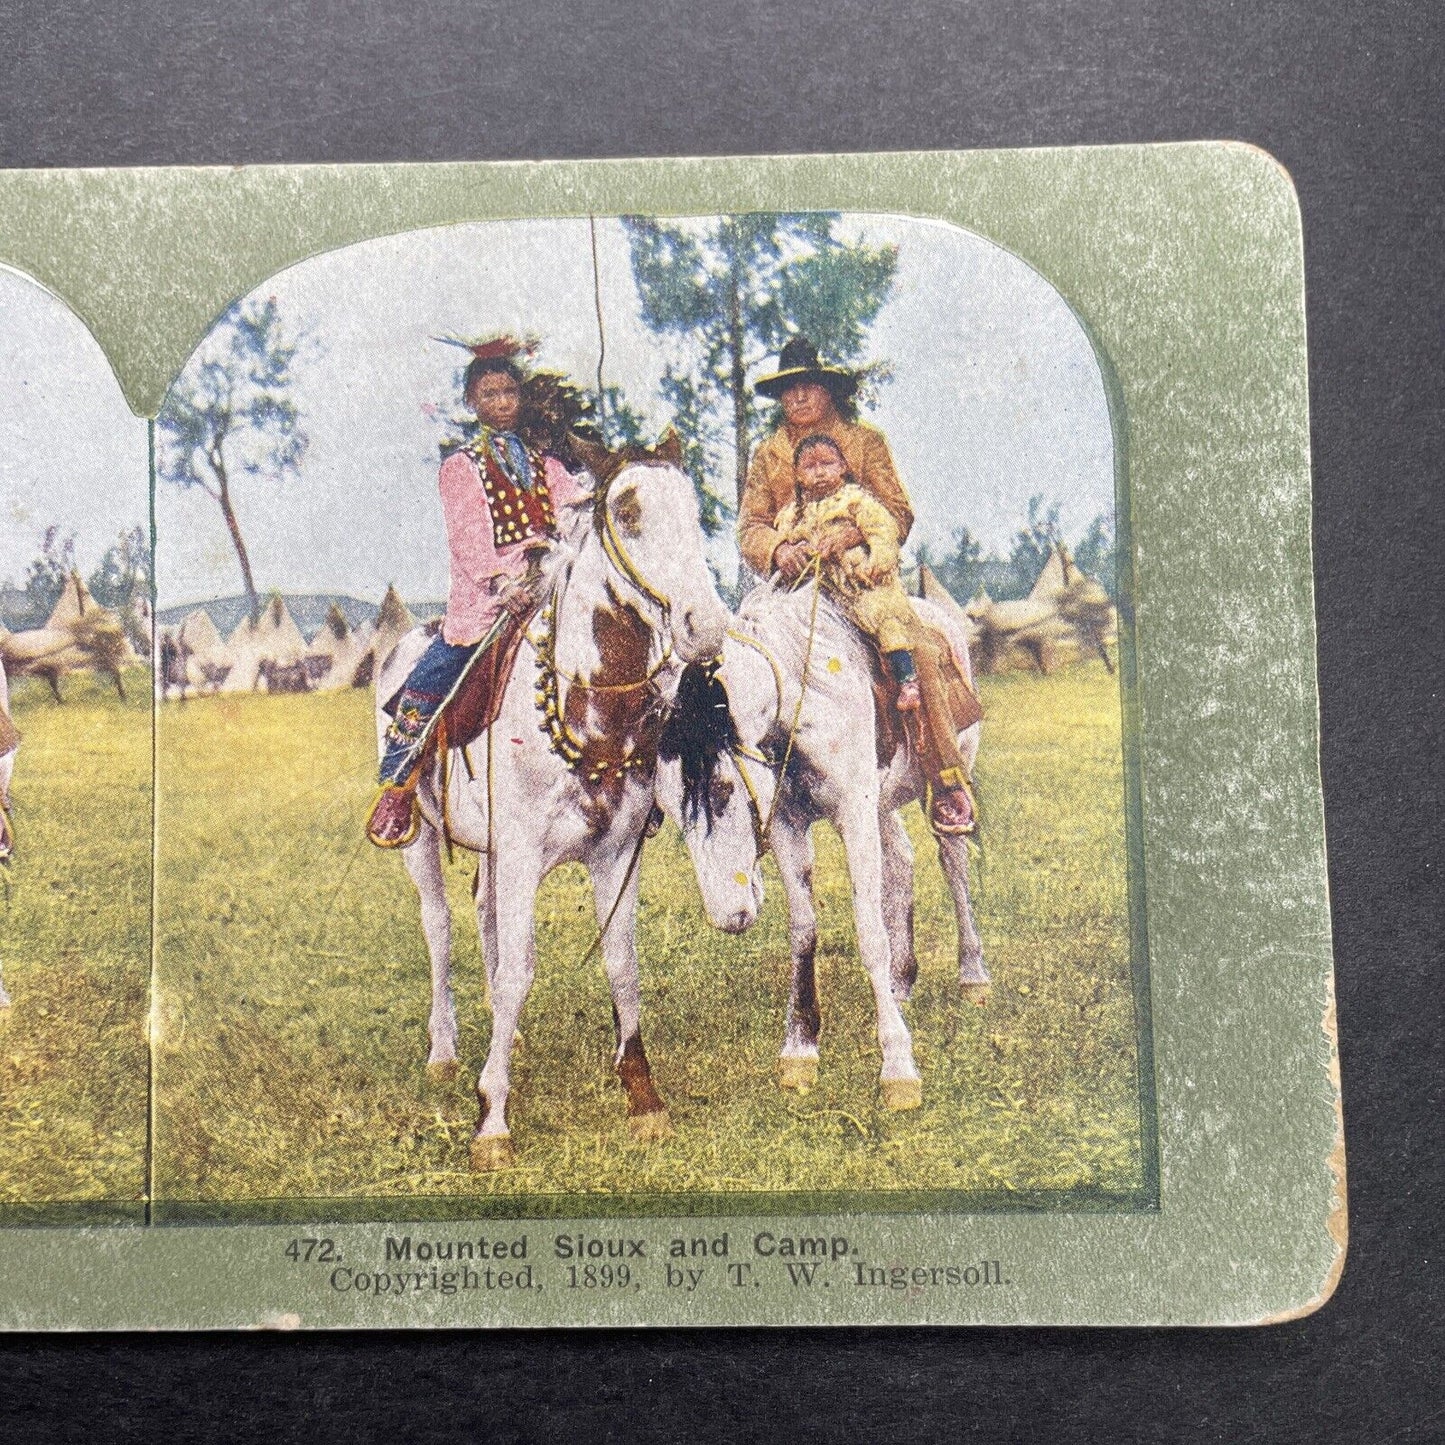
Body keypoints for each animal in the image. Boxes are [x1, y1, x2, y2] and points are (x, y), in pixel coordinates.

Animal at [375, 447, 768, 1173]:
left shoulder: (613, 853)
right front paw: (491, 1118)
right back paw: (445, 1051)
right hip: (419, 838)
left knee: (483, 914)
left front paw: (643, 1097)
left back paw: (507, 1038)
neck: (586, 706)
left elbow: (620, 964)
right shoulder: (524, 853)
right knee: (438, 926)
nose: (704, 626)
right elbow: (519, 971)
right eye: (629, 513)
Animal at [716, 575, 988, 1103]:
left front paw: (898, 1066)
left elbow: (869, 932)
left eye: (722, 789)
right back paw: (902, 982)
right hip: (882, 804)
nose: (729, 913)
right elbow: (803, 929)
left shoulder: (855, 815)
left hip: (946, 778)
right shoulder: (789, 823)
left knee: (954, 863)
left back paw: (972, 975)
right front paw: (799, 1048)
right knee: (902, 860)